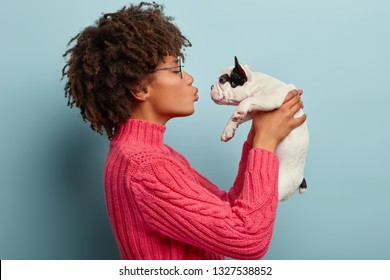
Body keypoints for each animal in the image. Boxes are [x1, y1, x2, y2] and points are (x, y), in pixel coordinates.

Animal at [212, 57, 310, 201]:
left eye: (222, 80)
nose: (211, 86)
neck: (255, 83)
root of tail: (301, 178)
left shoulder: (270, 98)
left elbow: (247, 102)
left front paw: (240, 109)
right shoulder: (252, 112)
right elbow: (235, 117)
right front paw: (228, 130)